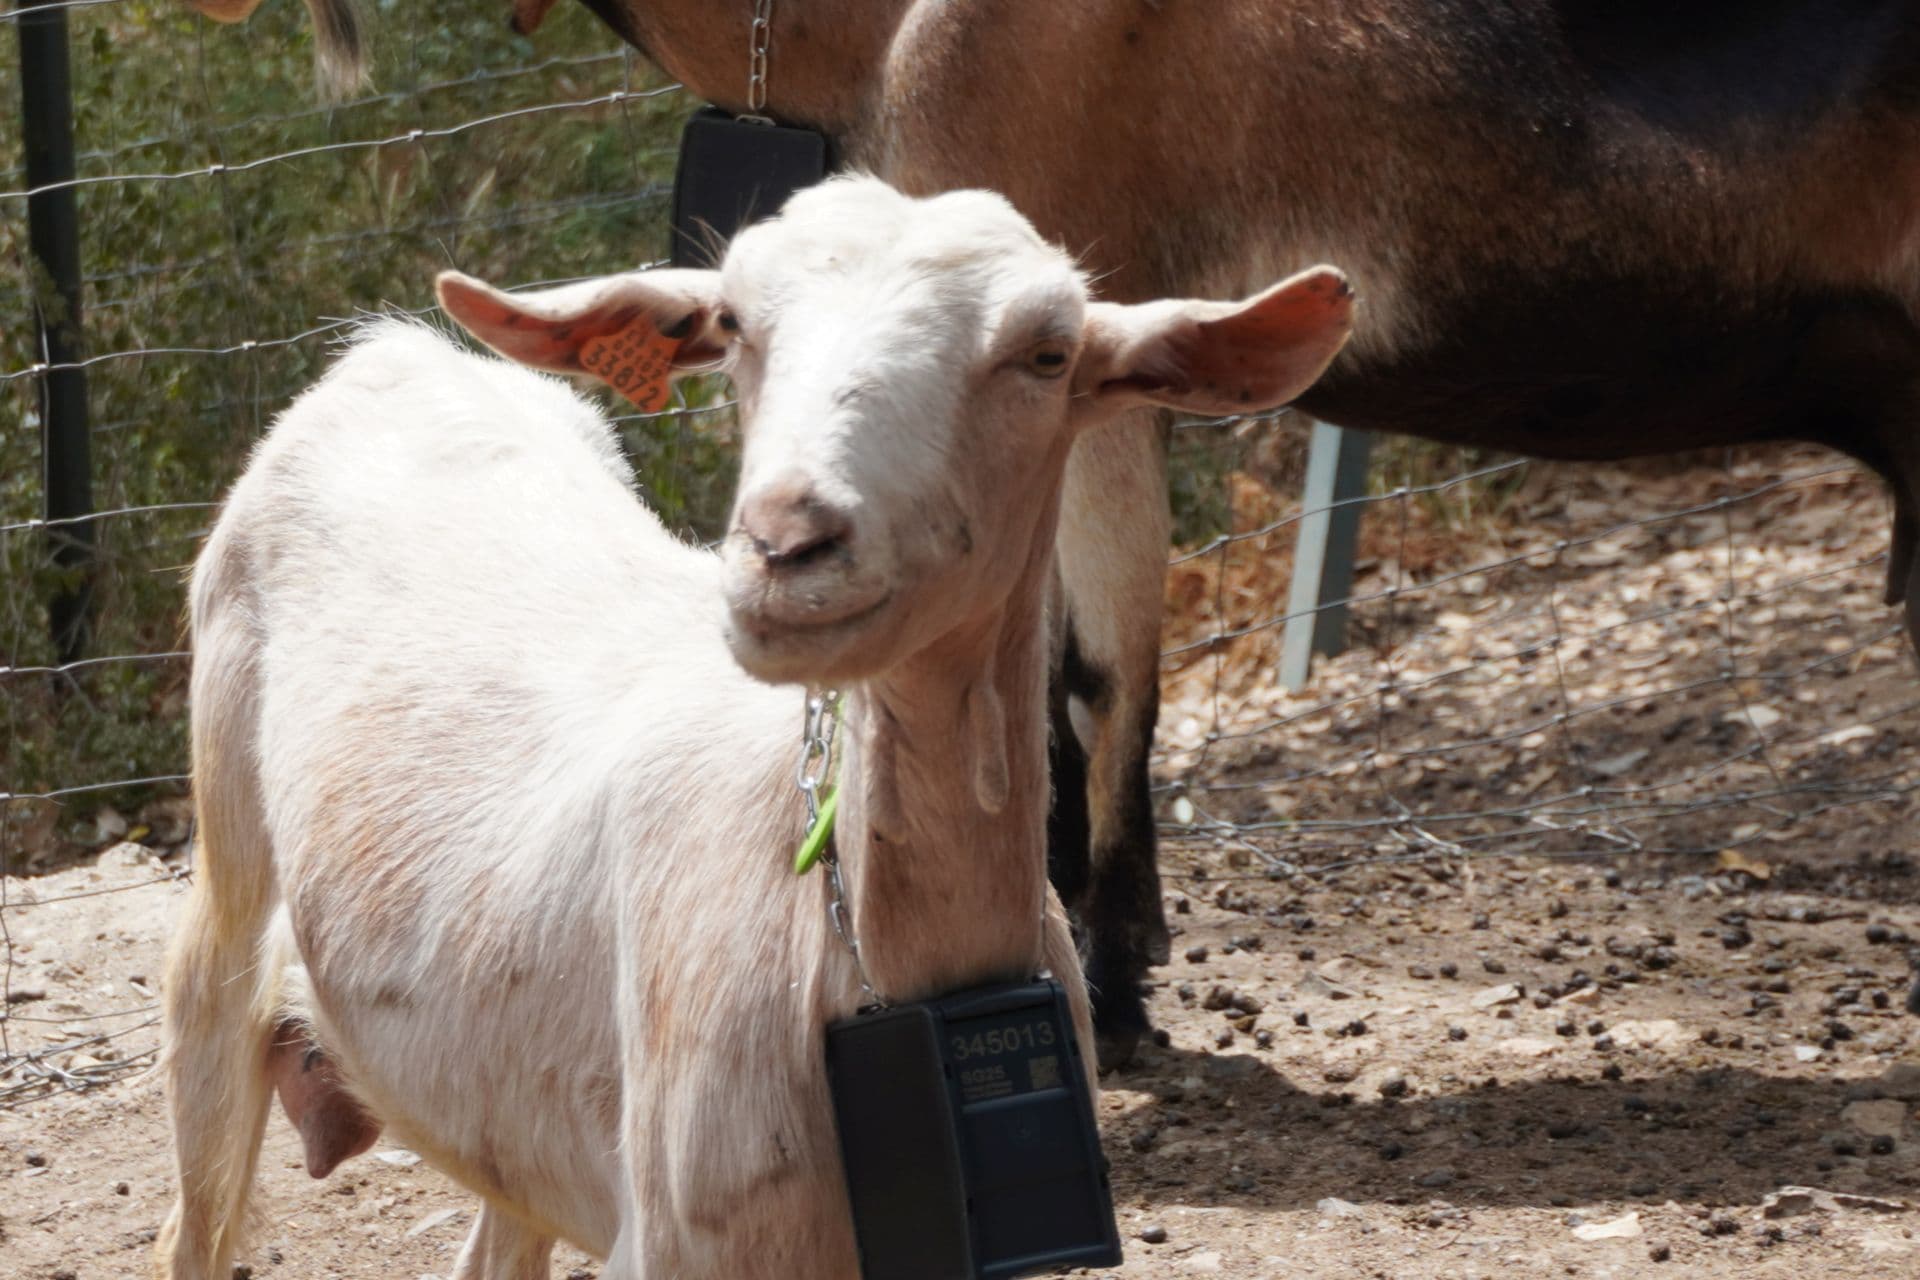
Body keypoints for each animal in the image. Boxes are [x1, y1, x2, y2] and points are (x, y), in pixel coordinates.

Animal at [155, 174, 1353, 1280]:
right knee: (194, 1206)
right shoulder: (678, 1241)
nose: (786, 544)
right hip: (224, 905)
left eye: (1048, 354)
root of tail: (399, 354)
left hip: (511, 1112)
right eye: (731, 323)